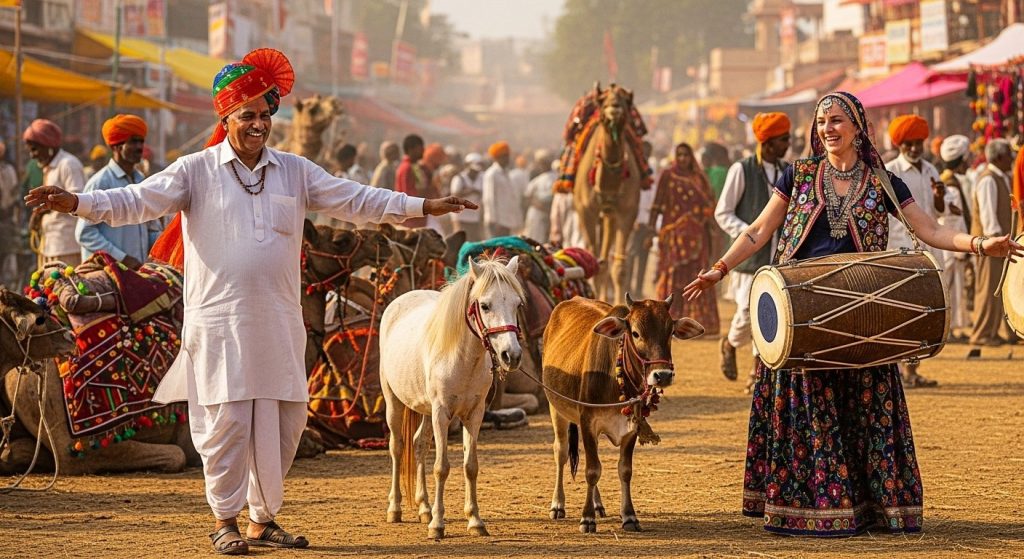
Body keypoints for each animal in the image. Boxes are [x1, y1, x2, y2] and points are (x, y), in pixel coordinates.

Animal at [379, 256, 526, 539]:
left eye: (518, 304)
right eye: (485, 305)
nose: (511, 355)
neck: (462, 359)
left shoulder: (474, 415)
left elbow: (470, 466)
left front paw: (475, 521)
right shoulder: (442, 414)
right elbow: (441, 467)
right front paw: (437, 525)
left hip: (424, 410)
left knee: (418, 445)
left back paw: (424, 508)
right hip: (394, 403)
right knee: (397, 447)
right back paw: (395, 509)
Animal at [541, 293, 704, 533]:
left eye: (670, 331)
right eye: (635, 333)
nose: (663, 375)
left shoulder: (632, 427)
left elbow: (624, 471)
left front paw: (629, 516)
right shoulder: (588, 422)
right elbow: (592, 470)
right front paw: (586, 519)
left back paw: (598, 505)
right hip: (556, 409)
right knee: (561, 452)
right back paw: (558, 505)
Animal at [572, 84, 644, 304]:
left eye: (625, 101)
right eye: (603, 101)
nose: (614, 107)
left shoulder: (628, 212)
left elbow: (620, 267)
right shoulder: (586, 210)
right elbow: (594, 264)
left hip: (609, 214)